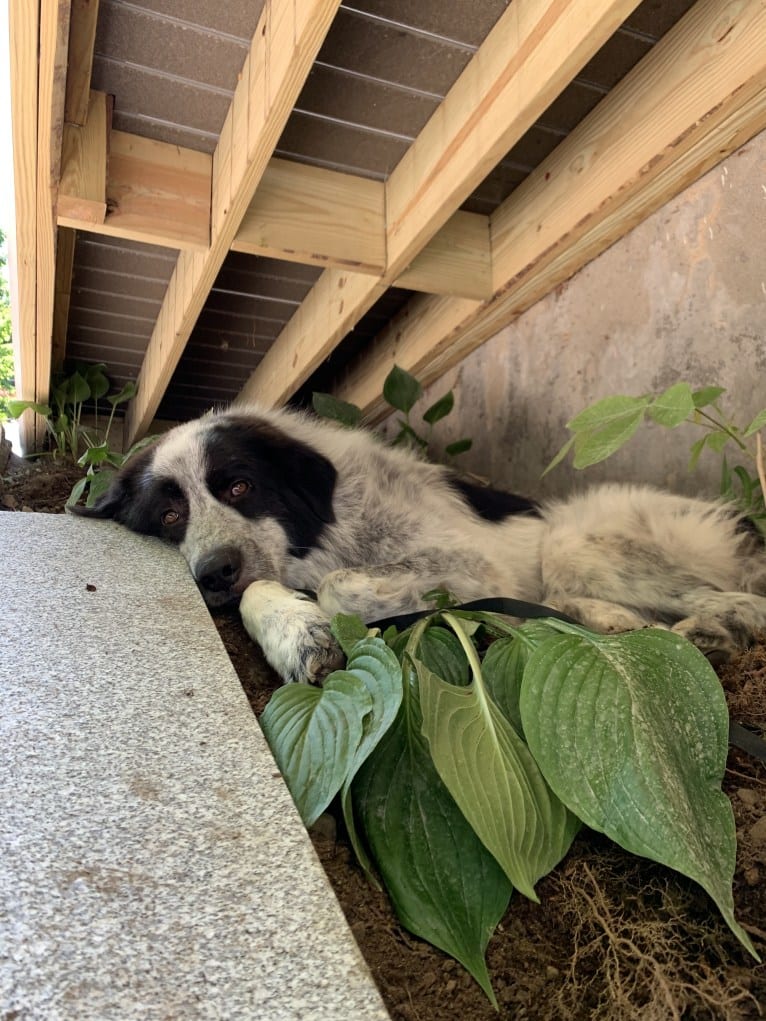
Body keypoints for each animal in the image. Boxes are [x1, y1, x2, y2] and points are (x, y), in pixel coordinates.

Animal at [73, 402, 766, 682]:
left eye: (239, 486)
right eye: (170, 515)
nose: (214, 572)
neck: (336, 521)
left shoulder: (470, 565)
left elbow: (338, 585)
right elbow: (269, 591)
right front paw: (295, 633)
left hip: (579, 539)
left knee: (738, 599)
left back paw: (714, 629)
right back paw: (617, 622)